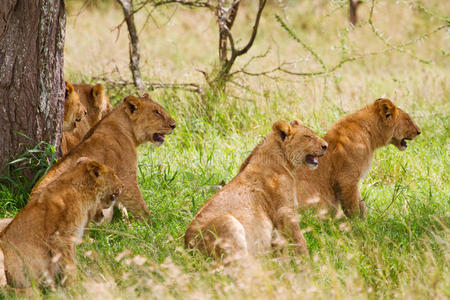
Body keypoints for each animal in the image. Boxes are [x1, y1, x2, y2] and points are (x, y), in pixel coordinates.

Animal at [29, 93, 176, 220]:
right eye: (156, 112)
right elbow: (140, 206)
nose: (174, 125)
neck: (128, 130)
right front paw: (152, 225)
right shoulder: (127, 177)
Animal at [185, 120, 328, 262]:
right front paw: (309, 262)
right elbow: (299, 240)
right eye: (308, 137)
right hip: (227, 222)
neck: (285, 162)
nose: (326, 146)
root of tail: (188, 248)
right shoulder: (284, 211)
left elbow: (282, 247)